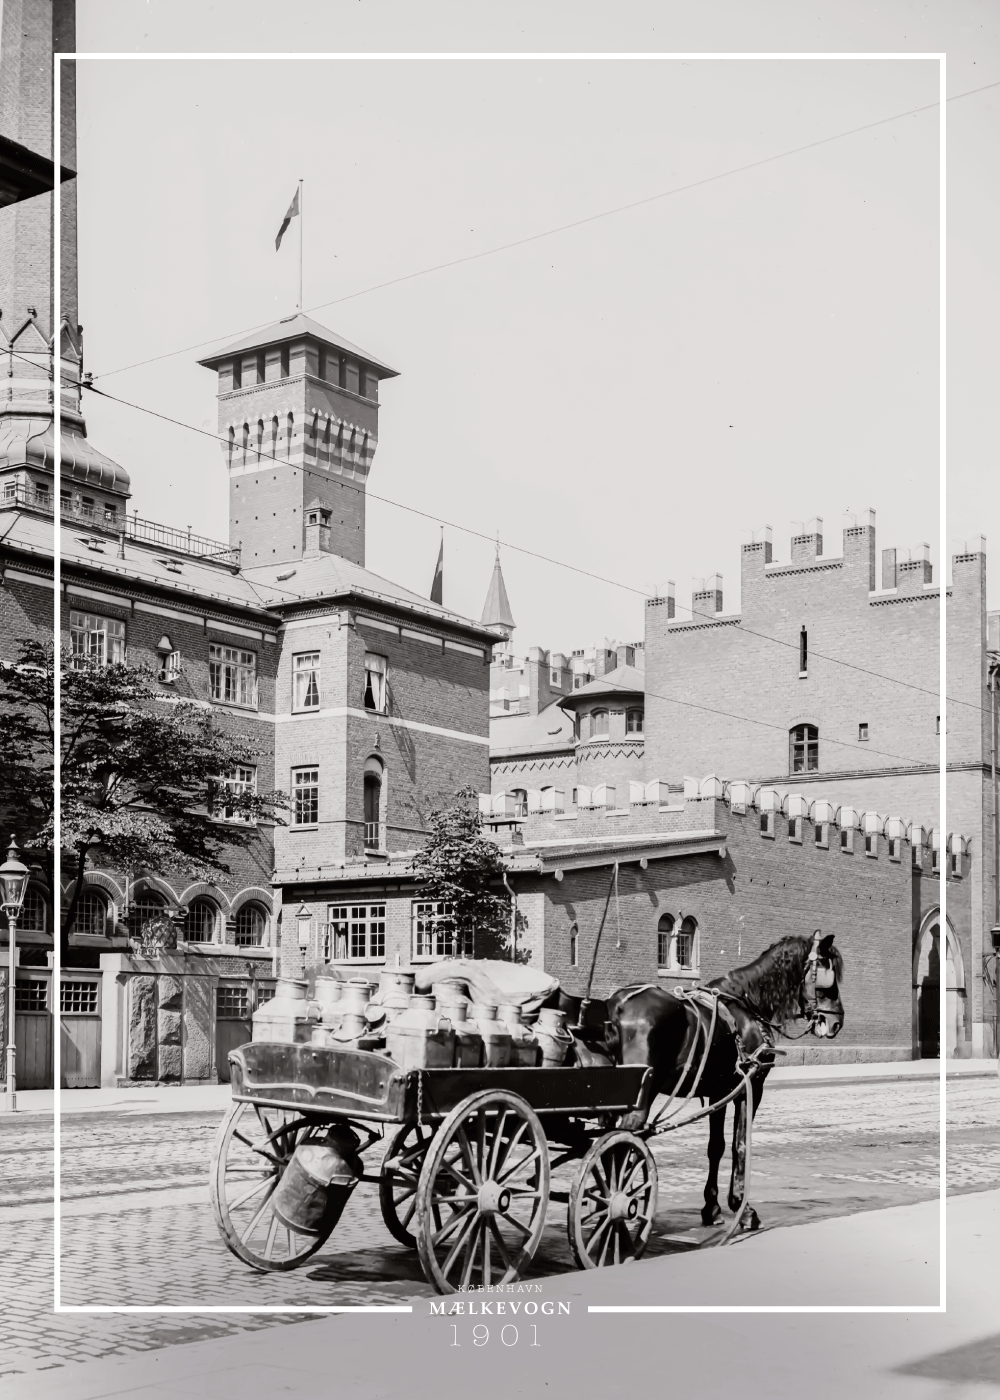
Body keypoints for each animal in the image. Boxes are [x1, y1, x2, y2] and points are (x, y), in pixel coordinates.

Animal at [551, 935, 840, 1232]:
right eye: (828, 976)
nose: (836, 1022)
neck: (745, 1006)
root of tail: (616, 1005)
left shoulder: (718, 1092)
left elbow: (716, 1147)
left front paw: (712, 1207)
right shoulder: (749, 1089)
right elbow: (739, 1145)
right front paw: (743, 1208)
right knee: (623, 1143)